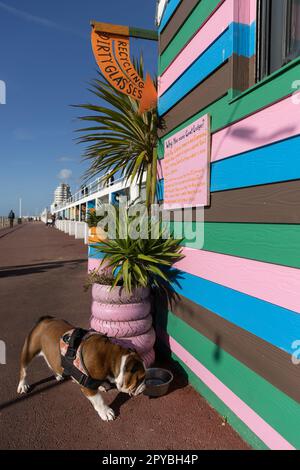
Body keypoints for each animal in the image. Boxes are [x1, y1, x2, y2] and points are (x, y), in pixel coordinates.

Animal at [17, 316, 146, 422]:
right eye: (139, 379)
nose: (144, 387)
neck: (111, 357)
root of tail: (45, 319)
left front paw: (102, 385)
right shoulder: (86, 386)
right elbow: (98, 399)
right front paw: (106, 412)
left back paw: (58, 375)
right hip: (29, 350)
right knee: (23, 369)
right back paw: (23, 385)